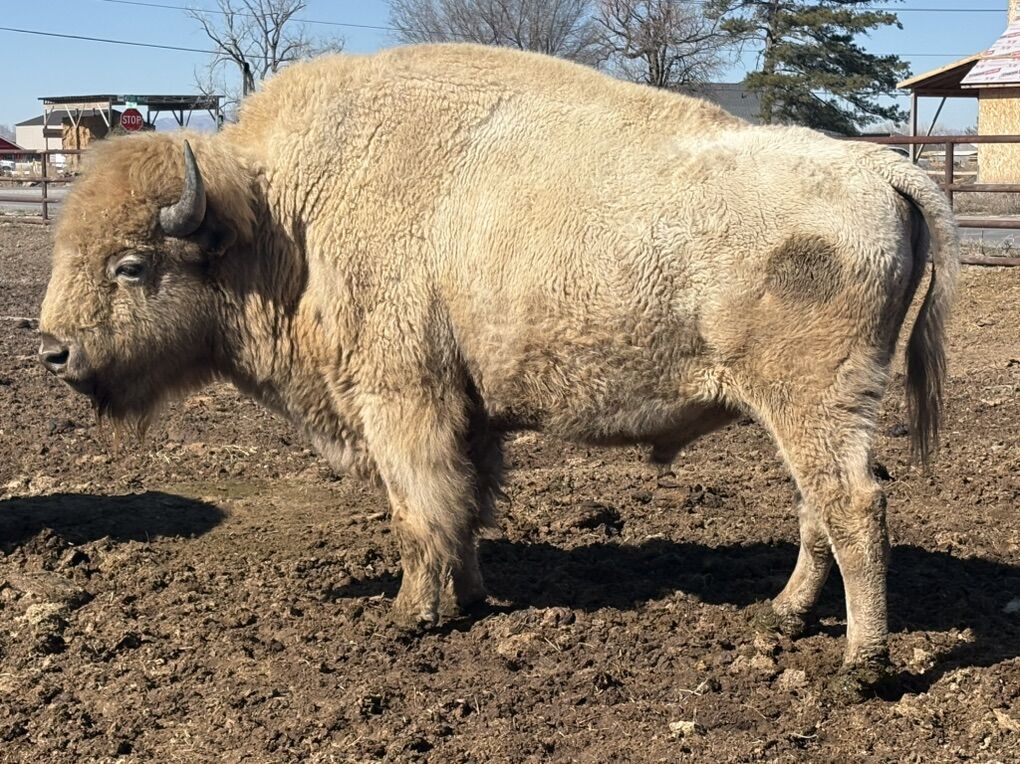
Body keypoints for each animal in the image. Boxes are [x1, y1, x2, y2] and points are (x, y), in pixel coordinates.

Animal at [37, 43, 958, 699]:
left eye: (130, 265)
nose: (52, 351)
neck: (286, 220)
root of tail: (879, 165)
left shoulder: (400, 402)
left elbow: (419, 512)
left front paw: (411, 615)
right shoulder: (468, 413)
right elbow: (468, 506)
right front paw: (472, 598)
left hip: (811, 403)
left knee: (853, 505)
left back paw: (860, 668)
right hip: (804, 411)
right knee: (819, 506)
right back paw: (783, 618)